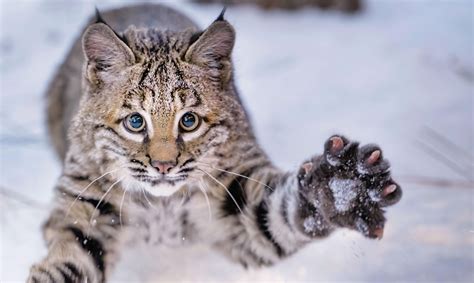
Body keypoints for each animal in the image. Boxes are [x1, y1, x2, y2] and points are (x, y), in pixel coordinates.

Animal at [28, 4, 400, 283]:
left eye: (189, 121)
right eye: (135, 122)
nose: (163, 166)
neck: (161, 205)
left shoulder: (239, 206)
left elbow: (280, 213)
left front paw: (341, 188)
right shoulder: (85, 204)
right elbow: (71, 257)